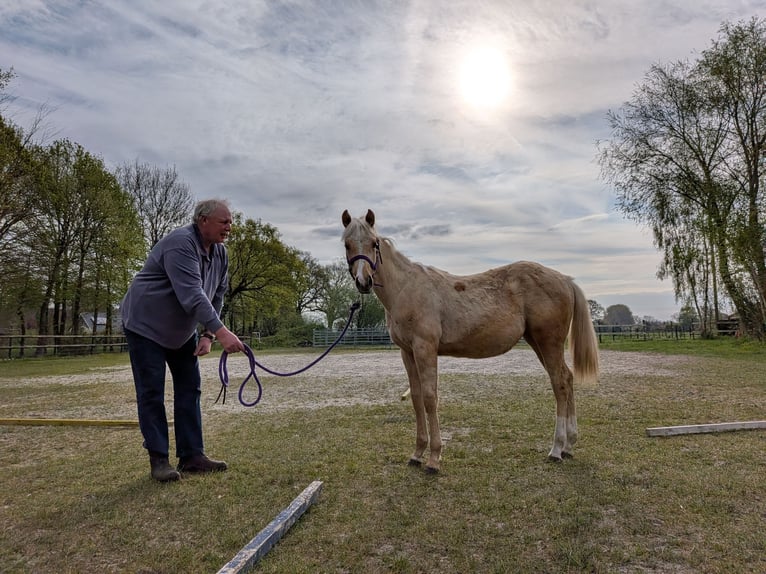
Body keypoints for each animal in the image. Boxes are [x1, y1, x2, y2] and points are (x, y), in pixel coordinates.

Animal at [341, 209, 599, 473]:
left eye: (374, 243)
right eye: (347, 244)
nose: (364, 281)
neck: (406, 289)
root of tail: (564, 279)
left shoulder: (425, 349)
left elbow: (430, 398)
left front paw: (434, 458)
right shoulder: (408, 353)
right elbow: (416, 398)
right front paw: (417, 453)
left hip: (549, 343)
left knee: (559, 384)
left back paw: (556, 449)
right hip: (539, 344)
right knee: (567, 378)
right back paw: (569, 445)